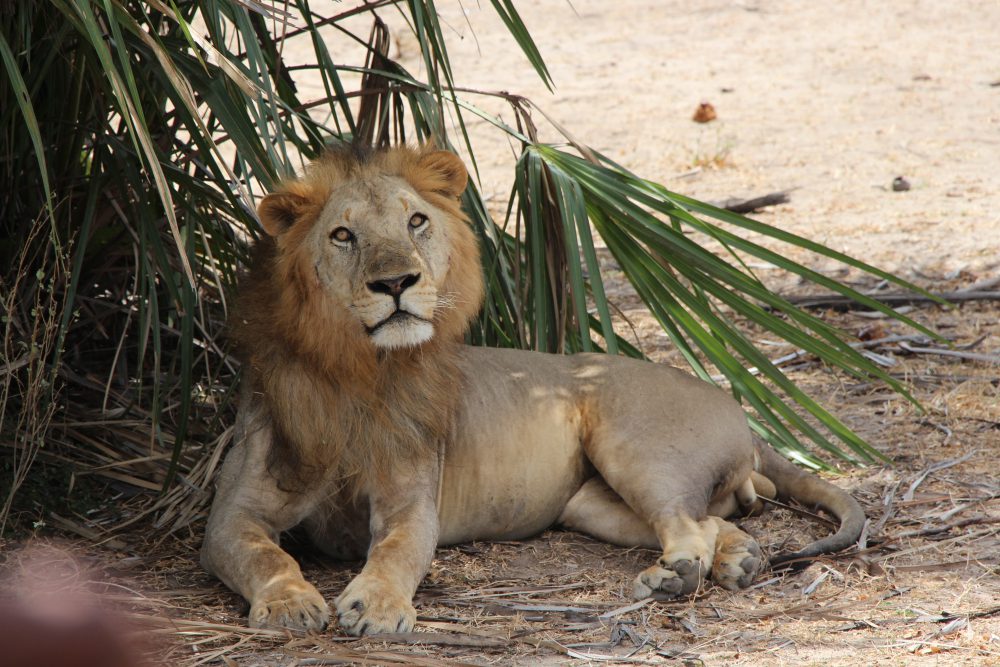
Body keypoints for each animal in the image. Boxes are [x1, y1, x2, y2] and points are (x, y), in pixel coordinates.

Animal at [199, 145, 864, 636]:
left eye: (416, 221)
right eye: (343, 235)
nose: (396, 283)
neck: (360, 371)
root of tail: (735, 406)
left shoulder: (411, 504)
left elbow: (396, 553)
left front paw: (378, 607)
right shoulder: (232, 515)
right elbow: (267, 553)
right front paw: (290, 603)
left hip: (635, 447)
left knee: (685, 524)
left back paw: (674, 576)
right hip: (588, 504)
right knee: (711, 523)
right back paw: (737, 559)